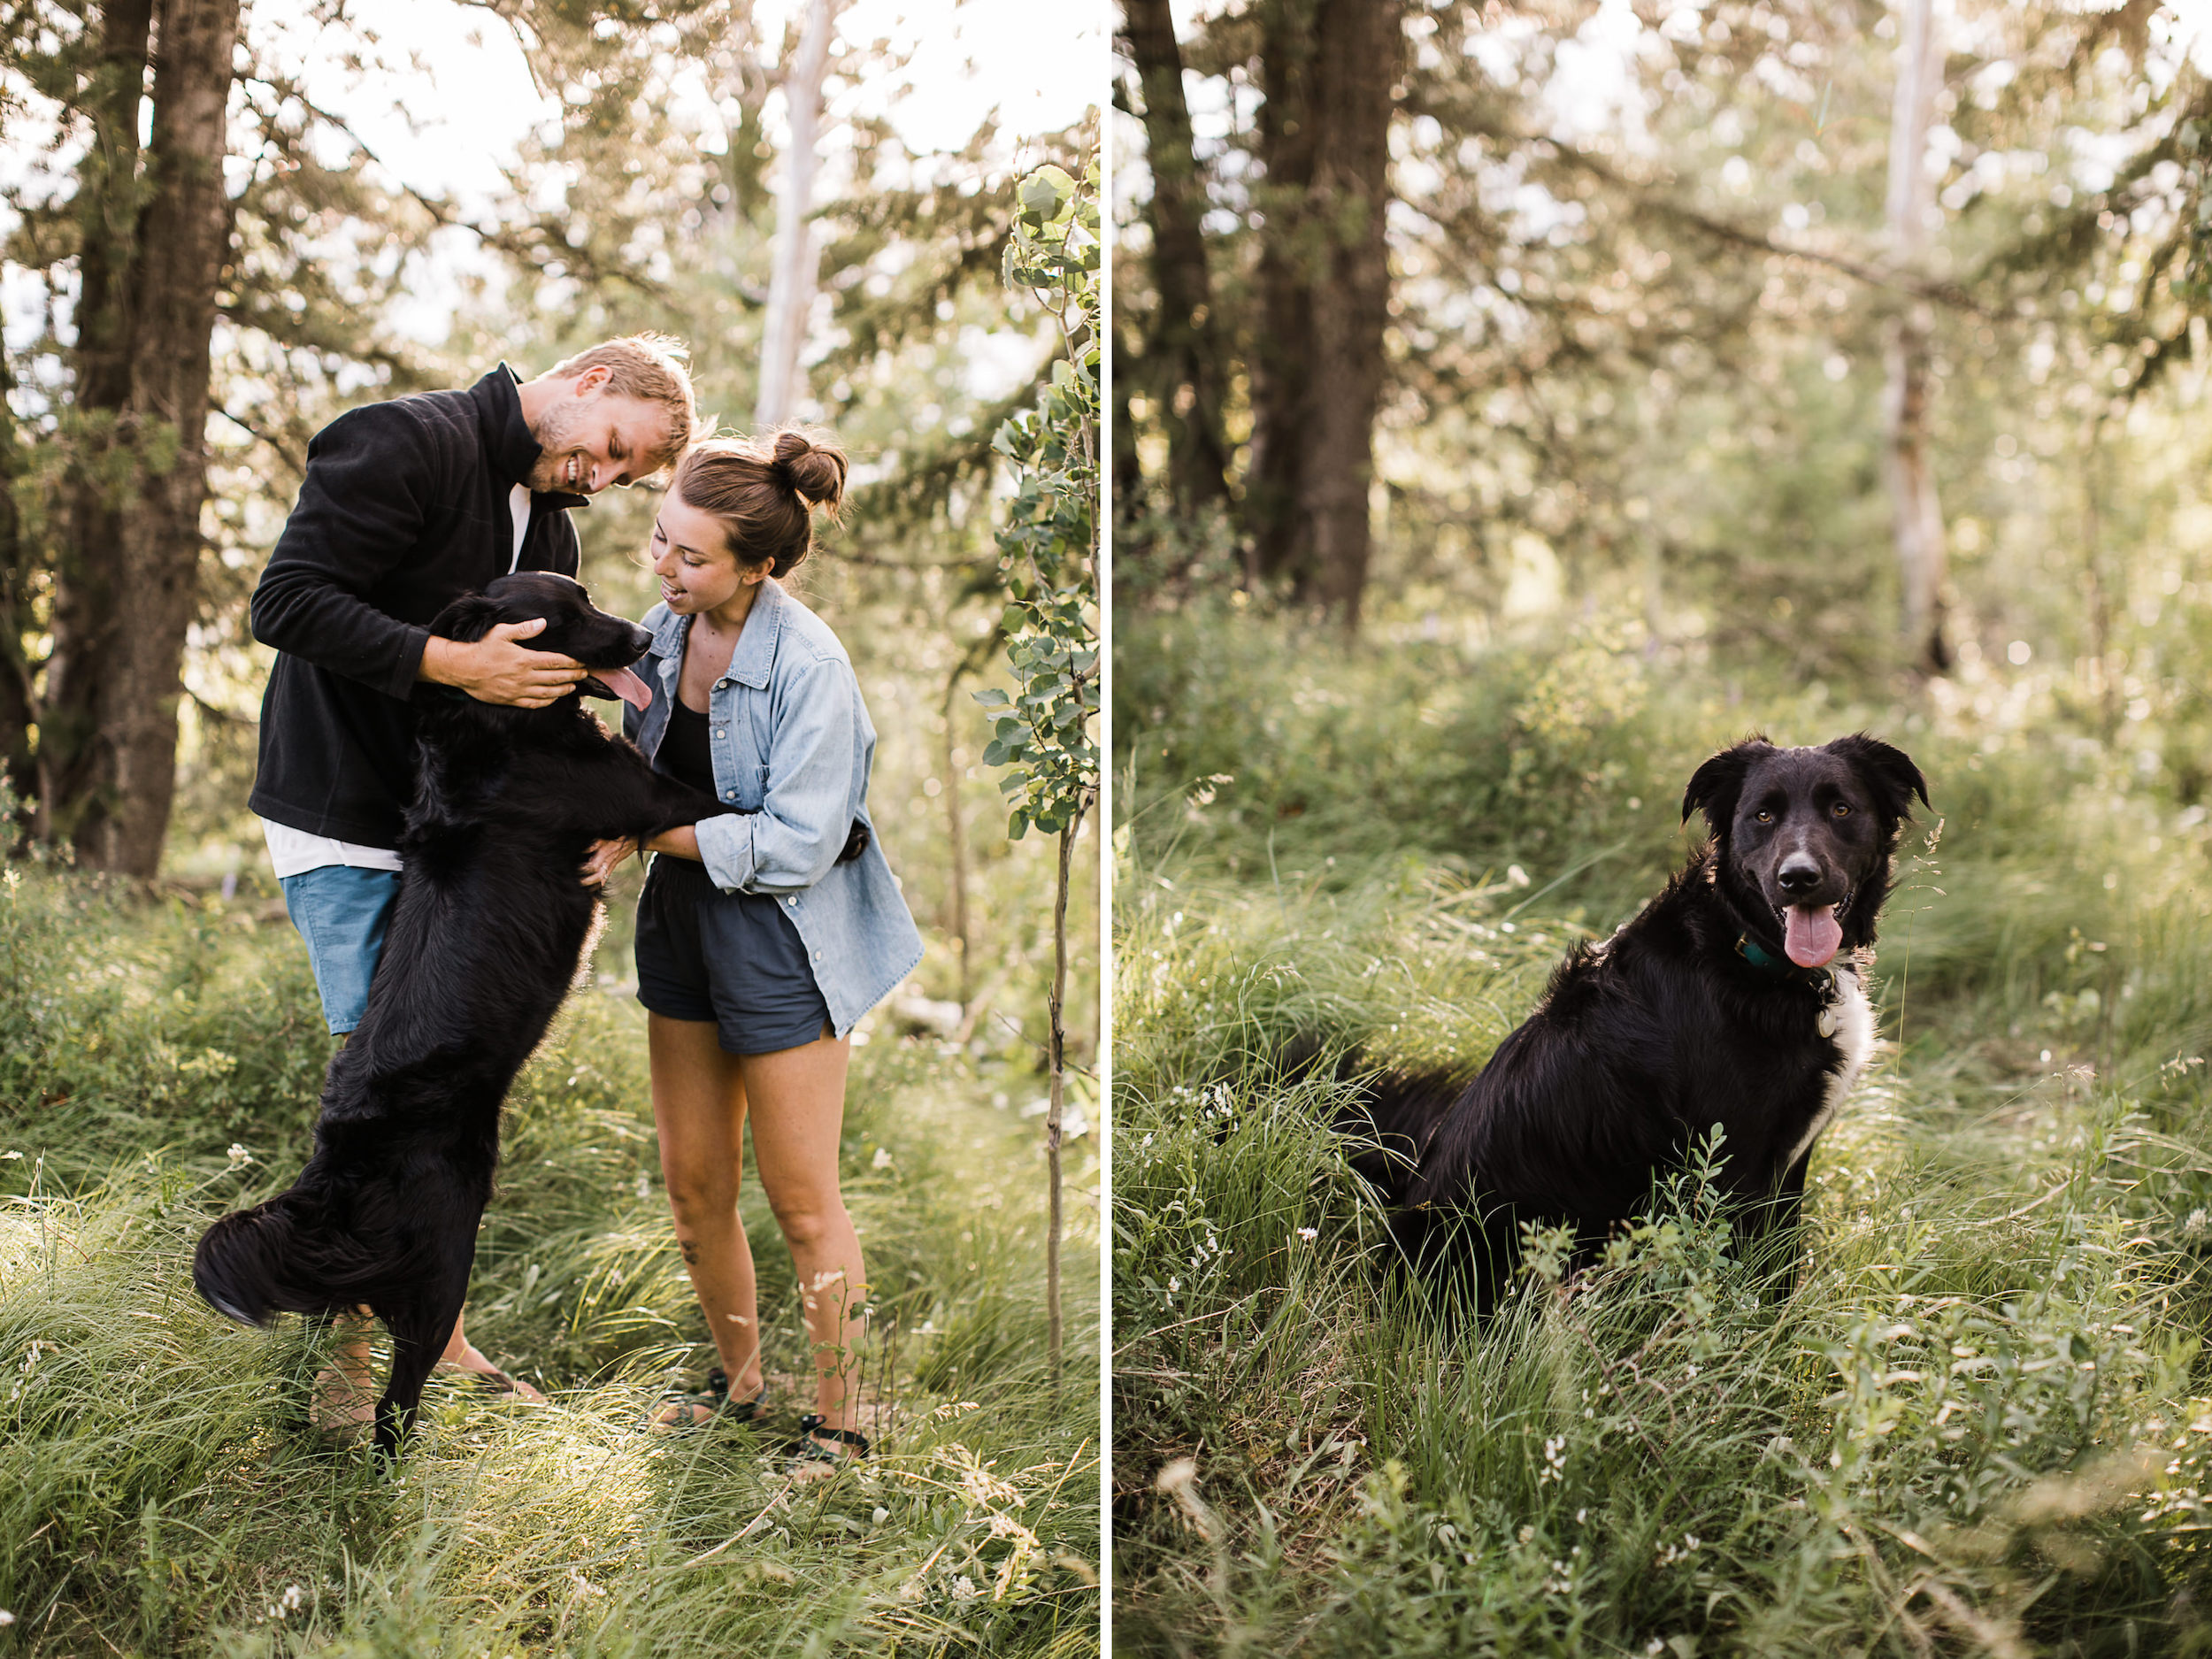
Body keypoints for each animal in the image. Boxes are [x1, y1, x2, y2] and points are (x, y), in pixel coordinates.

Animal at [1336, 734, 1929, 1318]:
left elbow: (1781, 1269)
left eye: (1841, 809)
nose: (1799, 878)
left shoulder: (1789, 1160)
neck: (1749, 952)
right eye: (1762, 815)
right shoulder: (1734, 1164)